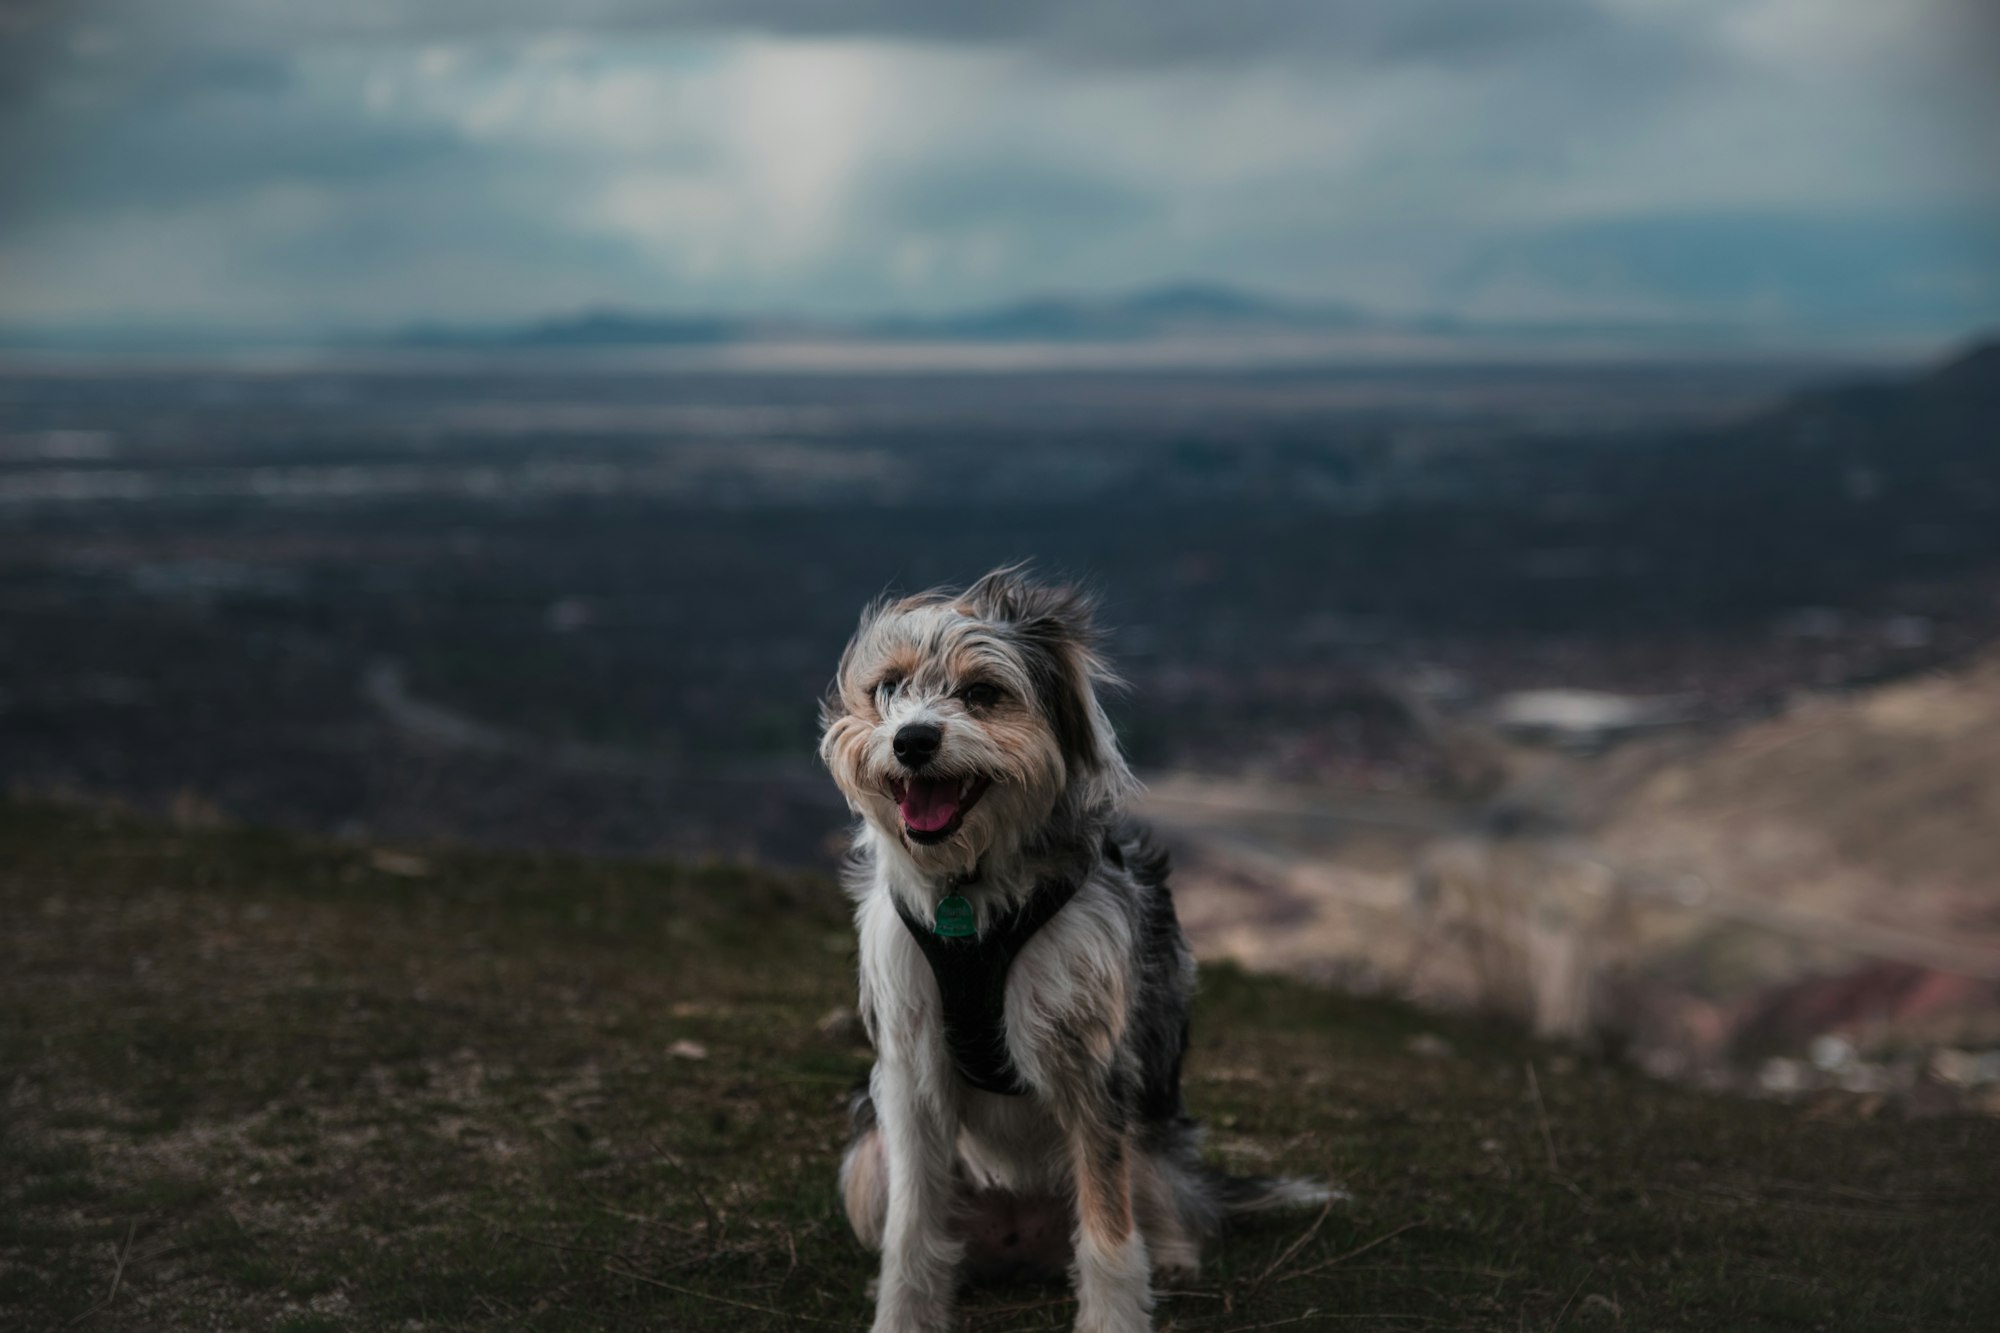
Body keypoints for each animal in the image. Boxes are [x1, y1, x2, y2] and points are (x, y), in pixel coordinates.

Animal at [820, 564, 1320, 1320]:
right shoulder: (911, 1068)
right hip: (866, 1153)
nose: (911, 741)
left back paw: (1172, 1256)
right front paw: (902, 1312)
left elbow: (1110, 1231)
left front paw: (1115, 1316)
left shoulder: (1093, 1063)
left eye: (982, 693)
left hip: (1152, 1142)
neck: (971, 889)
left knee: (1156, 1207)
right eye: (887, 688)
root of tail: (1020, 1241)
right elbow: (912, 1231)